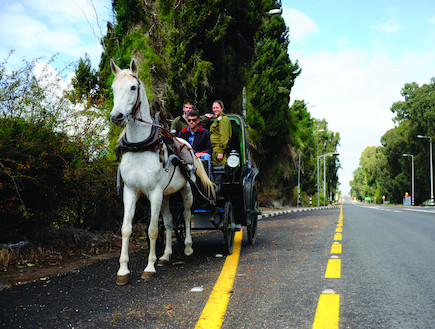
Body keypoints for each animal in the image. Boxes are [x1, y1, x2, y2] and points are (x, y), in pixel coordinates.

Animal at [109, 58, 215, 284]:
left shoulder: (155, 193)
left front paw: (150, 267)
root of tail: (187, 144)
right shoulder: (131, 191)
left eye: (133, 87)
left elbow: (152, 230)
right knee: (169, 222)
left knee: (186, 216)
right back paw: (166, 256)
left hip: (186, 191)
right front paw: (123, 271)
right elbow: (126, 229)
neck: (141, 146)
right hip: (166, 195)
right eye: (114, 88)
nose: (116, 116)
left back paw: (188, 249)